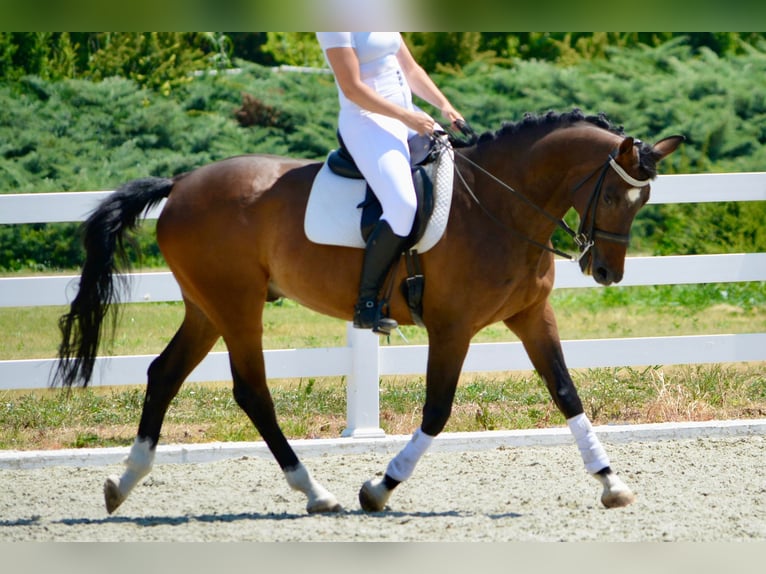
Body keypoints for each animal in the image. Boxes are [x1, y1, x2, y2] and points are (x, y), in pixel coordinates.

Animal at [54, 109, 683, 515]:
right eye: (612, 195)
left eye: (644, 200)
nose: (606, 271)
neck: (499, 204)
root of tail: (182, 182)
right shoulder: (452, 328)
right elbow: (437, 411)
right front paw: (379, 488)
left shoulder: (531, 316)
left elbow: (567, 393)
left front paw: (611, 482)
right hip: (236, 305)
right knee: (251, 390)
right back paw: (316, 492)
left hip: (207, 307)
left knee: (164, 373)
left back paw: (123, 483)